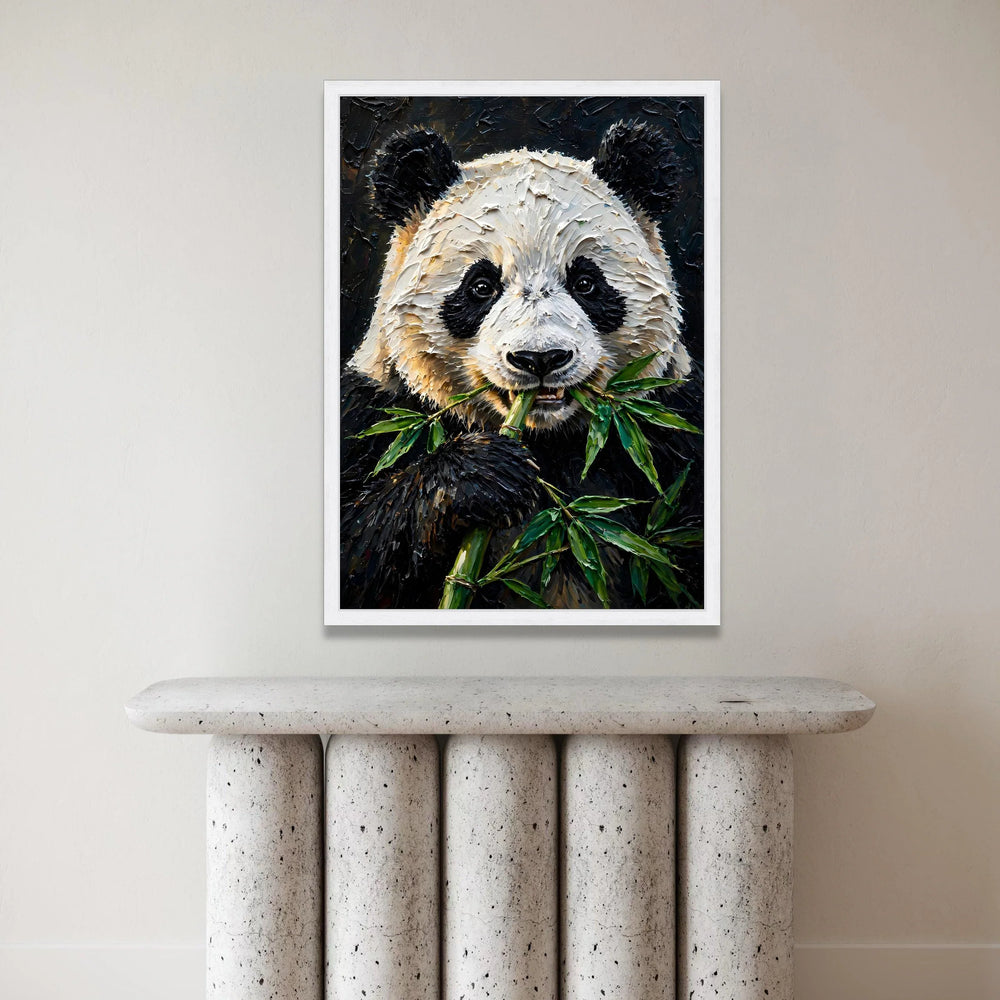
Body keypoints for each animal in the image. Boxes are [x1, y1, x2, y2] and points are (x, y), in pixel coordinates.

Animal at [340, 122, 703, 610]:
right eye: (480, 286)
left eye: (586, 282)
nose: (540, 358)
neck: (547, 443)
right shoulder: (377, 412)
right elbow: (357, 549)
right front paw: (484, 475)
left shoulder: (667, 426)